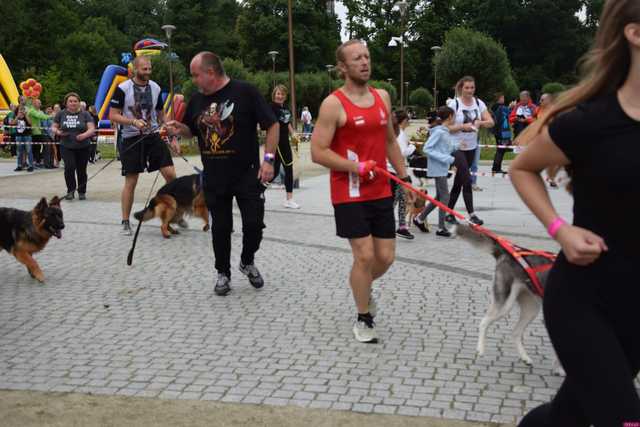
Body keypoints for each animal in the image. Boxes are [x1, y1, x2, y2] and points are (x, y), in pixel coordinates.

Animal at [452, 224, 564, 374]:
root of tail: (508, 253)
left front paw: (558, 368)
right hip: (505, 304)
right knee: (484, 322)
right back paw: (480, 349)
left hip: (531, 309)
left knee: (515, 333)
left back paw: (525, 357)